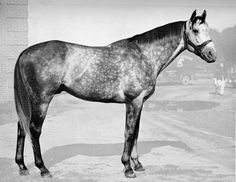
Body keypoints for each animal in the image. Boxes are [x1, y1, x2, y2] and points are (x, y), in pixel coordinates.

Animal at [13, 9, 217, 178]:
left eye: (208, 30)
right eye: (196, 31)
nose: (212, 55)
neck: (144, 55)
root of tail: (24, 52)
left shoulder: (139, 103)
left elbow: (136, 132)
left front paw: (138, 164)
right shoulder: (134, 101)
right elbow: (129, 133)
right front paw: (128, 168)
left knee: (21, 127)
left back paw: (22, 167)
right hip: (41, 100)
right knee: (34, 130)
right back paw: (43, 169)